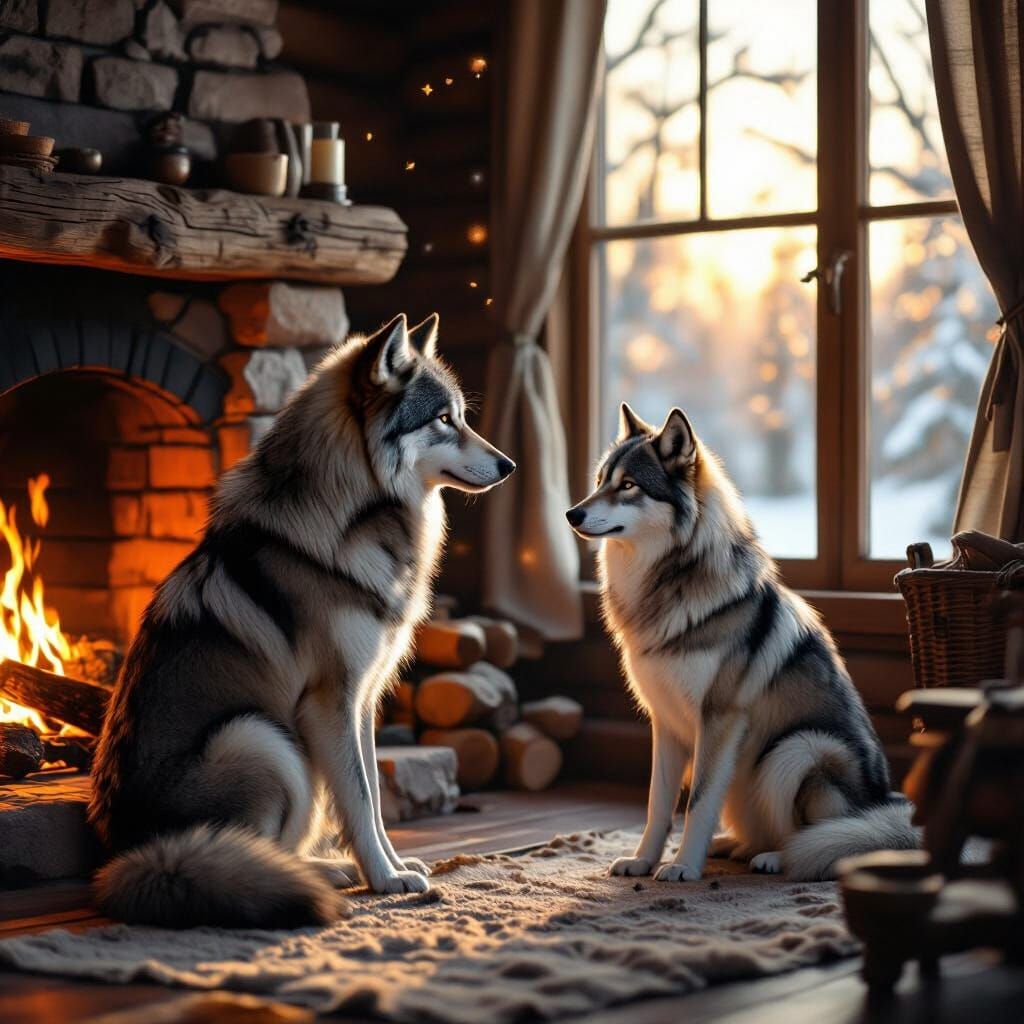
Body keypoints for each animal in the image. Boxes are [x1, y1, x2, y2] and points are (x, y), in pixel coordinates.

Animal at [88, 312, 515, 928]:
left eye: (461, 415)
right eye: (443, 419)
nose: (510, 465)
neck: (352, 519)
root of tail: (127, 858)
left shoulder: (362, 702)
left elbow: (374, 801)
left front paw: (391, 868)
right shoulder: (331, 702)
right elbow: (359, 803)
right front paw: (385, 880)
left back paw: (324, 872)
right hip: (262, 738)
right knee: (245, 853)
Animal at [566, 403, 914, 882]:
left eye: (629, 485)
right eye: (600, 480)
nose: (571, 514)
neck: (665, 585)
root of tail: (884, 808)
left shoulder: (719, 720)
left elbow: (697, 803)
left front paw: (682, 868)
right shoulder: (665, 723)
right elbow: (658, 805)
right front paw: (643, 860)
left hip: (797, 749)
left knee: (817, 841)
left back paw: (775, 858)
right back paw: (733, 846)